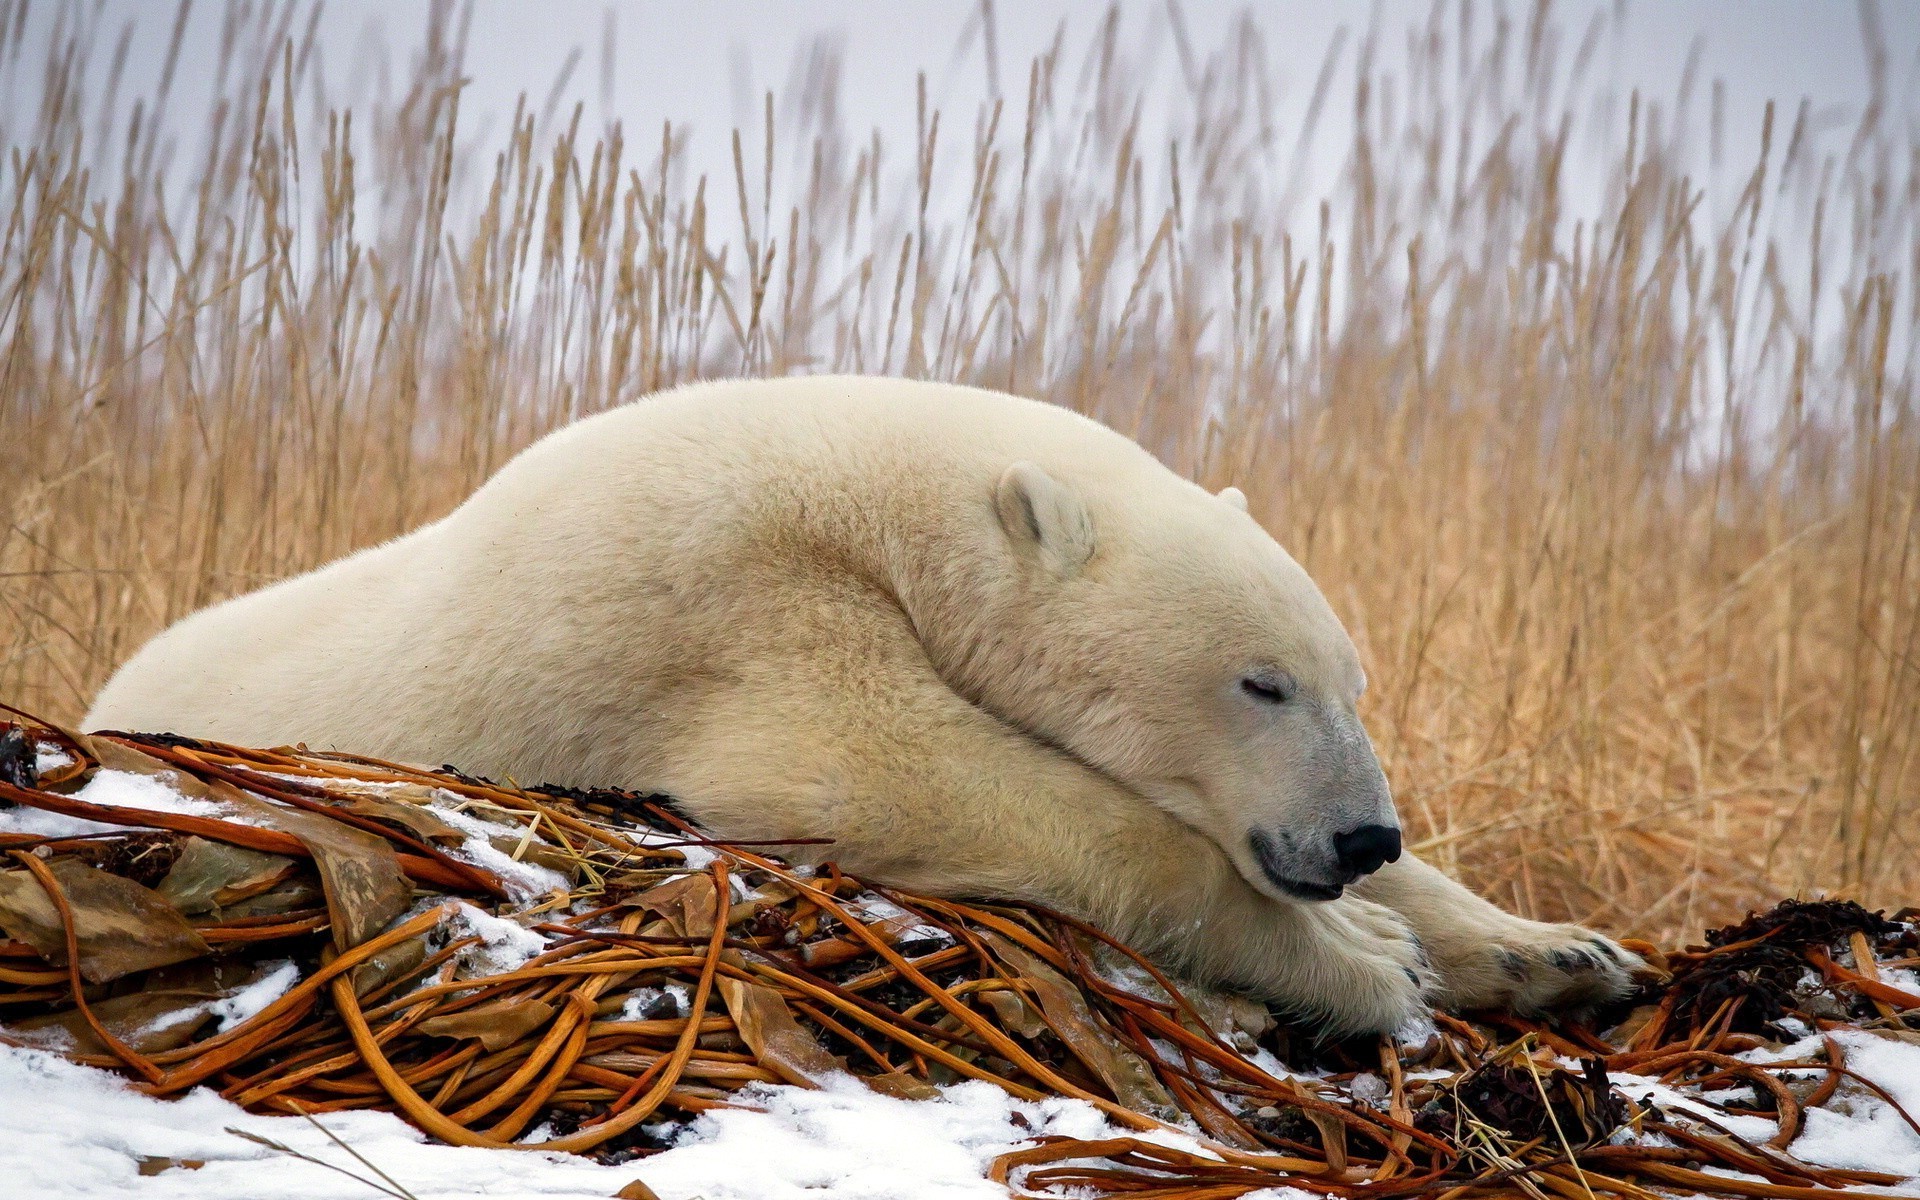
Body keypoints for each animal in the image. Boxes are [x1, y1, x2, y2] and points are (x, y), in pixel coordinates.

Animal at [90, 376, 1643, 1036]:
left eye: (1352, 681)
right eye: (1260, 681)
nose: (1361, 837)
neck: (874, 489)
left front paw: (1556, 953)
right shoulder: (740, 598)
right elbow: (892, 776)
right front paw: (1370, 965)